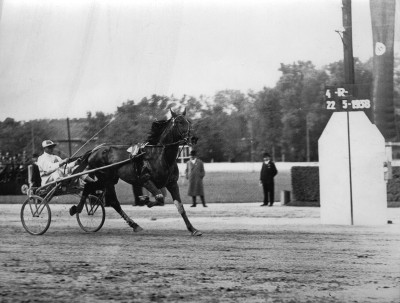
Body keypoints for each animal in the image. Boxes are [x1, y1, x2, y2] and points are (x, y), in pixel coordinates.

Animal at [70, 109, 202, 238]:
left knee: (105, 197)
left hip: (111, 179)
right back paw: (78, 209)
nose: (194, 138)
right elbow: (159, 197)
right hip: (104, 178)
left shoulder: (172, 183)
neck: (160, 156)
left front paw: (193, 229)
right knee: (100, 194)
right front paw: (145, 199)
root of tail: (95, 150)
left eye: (189, 121)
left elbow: (180, 206)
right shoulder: (145, 180)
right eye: (179, 122)